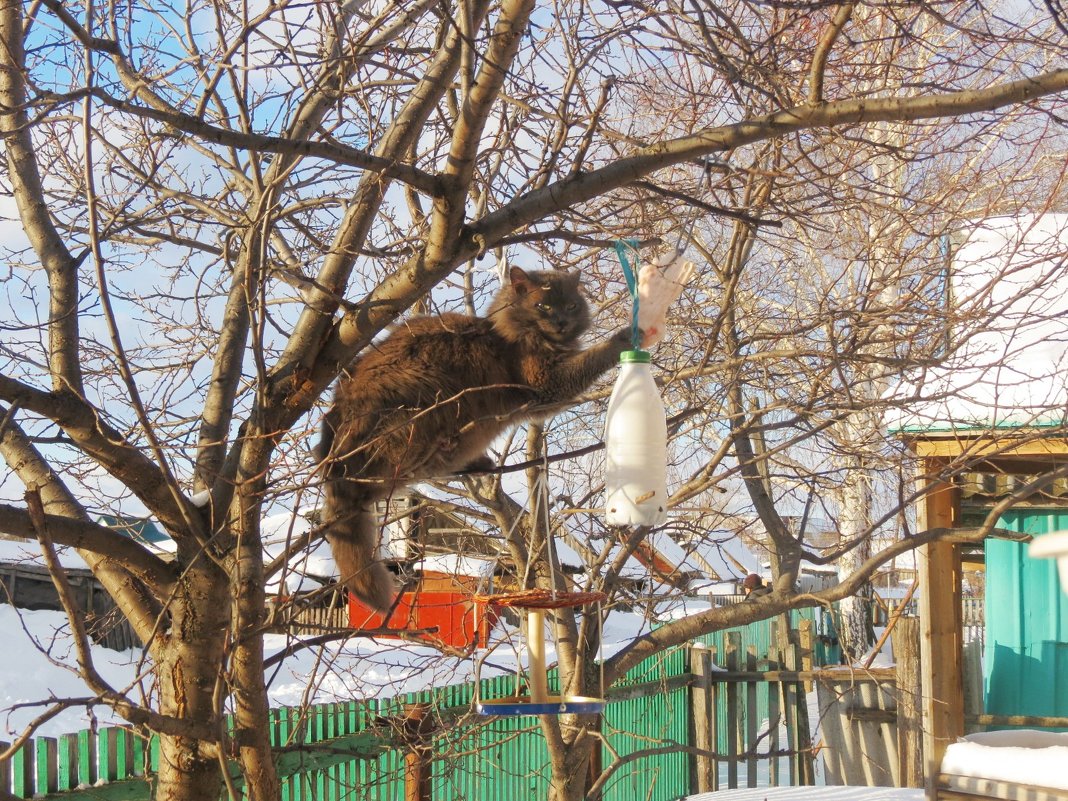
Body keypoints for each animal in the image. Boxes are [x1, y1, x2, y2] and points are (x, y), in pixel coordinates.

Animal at [320, 267, 627, 610]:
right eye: (543, 306)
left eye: (572, 306)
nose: (561, 321)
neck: (508, 335)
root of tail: (333, 464)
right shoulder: (544, 384)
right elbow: (592, 359)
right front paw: (629, 335)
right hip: (423, 395)